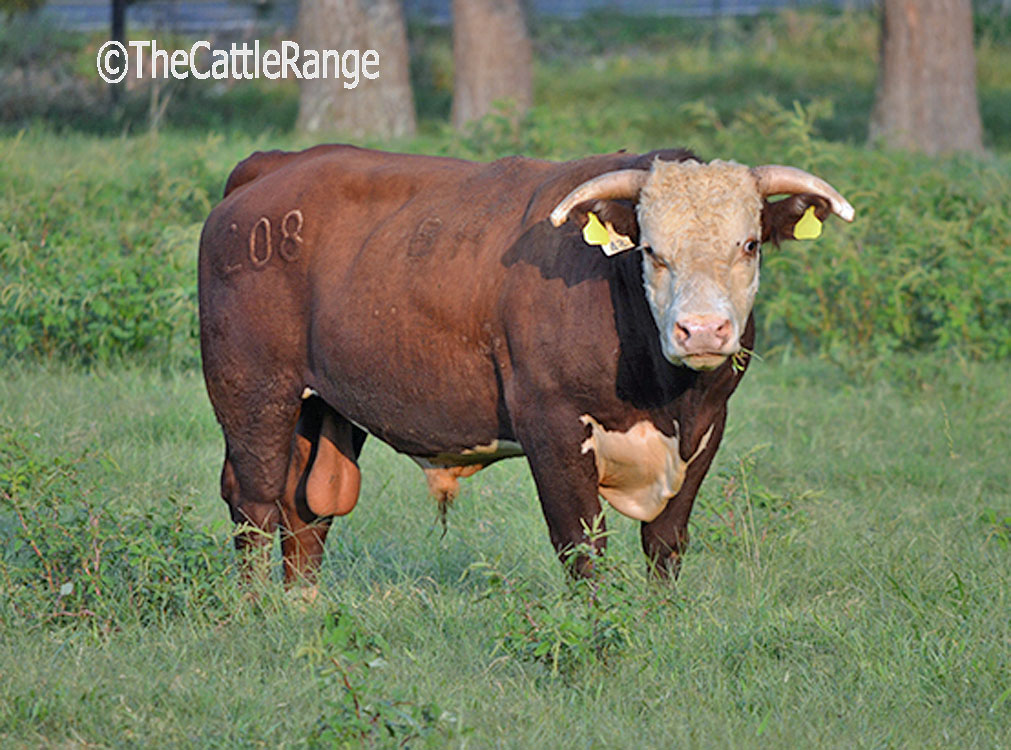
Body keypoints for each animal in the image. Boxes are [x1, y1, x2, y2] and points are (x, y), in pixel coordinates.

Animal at [198, 144, 853, 583]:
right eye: (651, 250)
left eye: (750, 244)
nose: (702, 330)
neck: (668, 399)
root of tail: (274, 165)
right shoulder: (552, 424)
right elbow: (581, 547)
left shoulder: (707, 428)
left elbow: (665, 543)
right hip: (254, 391)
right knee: (254, 502)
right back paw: (257, 614)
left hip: (324, 405)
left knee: (305, 512)